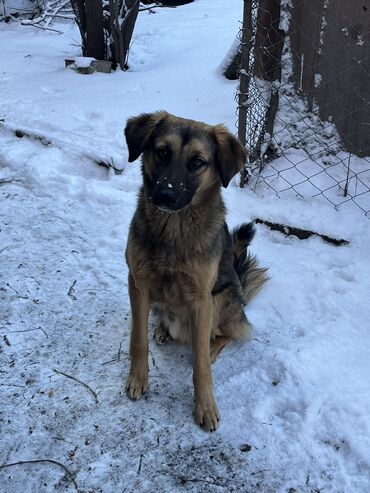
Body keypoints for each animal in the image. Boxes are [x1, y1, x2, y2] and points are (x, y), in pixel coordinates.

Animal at [123, 111, 266, 430]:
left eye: (198, 162)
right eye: (162, 152)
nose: (165, 196)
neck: (172, 230)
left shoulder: (202, 299)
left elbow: (200, 364)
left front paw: (205, 406)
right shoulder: (138, 283)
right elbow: (138, 340)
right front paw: (138, 379)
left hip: (221, 299)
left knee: (232, 332)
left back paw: (213, 345)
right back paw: (163, 328)